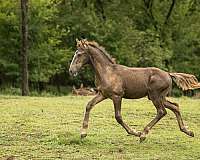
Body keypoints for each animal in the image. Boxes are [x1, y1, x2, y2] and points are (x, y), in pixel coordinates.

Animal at [69, 39, 200, 142]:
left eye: (79, 54)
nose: (71, 70)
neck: (107, 72)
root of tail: (168, 74)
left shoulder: (117, 96)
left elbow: (118, 117)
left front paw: (135, 132)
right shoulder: (103, 94)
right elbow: (89, 105)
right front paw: (83, 133)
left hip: (155, 96)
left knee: (162, 111)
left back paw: (143, 134)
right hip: (160, 97)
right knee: (175, 106)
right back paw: (188, 131)